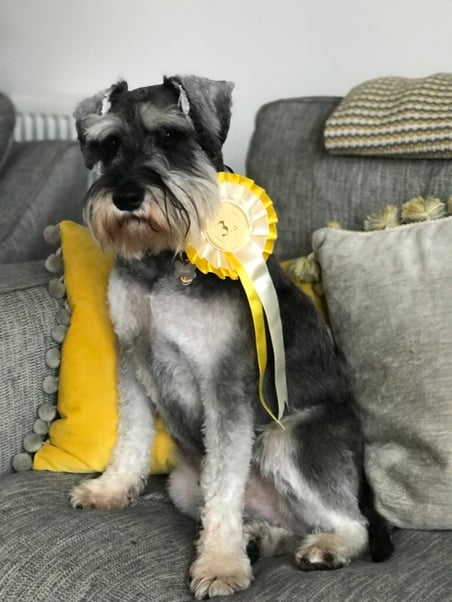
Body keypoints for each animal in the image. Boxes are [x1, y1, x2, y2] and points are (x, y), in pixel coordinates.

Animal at [68, 74, 392, 596]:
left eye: (170, 136)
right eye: (110, 143)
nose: (126, 197)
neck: (166, 260)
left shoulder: (225, 385)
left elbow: (223, 486)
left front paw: (219, 564)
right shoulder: (133, 358)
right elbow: (132, 435)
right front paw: (110, 488)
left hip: (284, 440)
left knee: (353, 522)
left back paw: (324, 547)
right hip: (183, 484)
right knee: (275, 521)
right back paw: (257, 537)